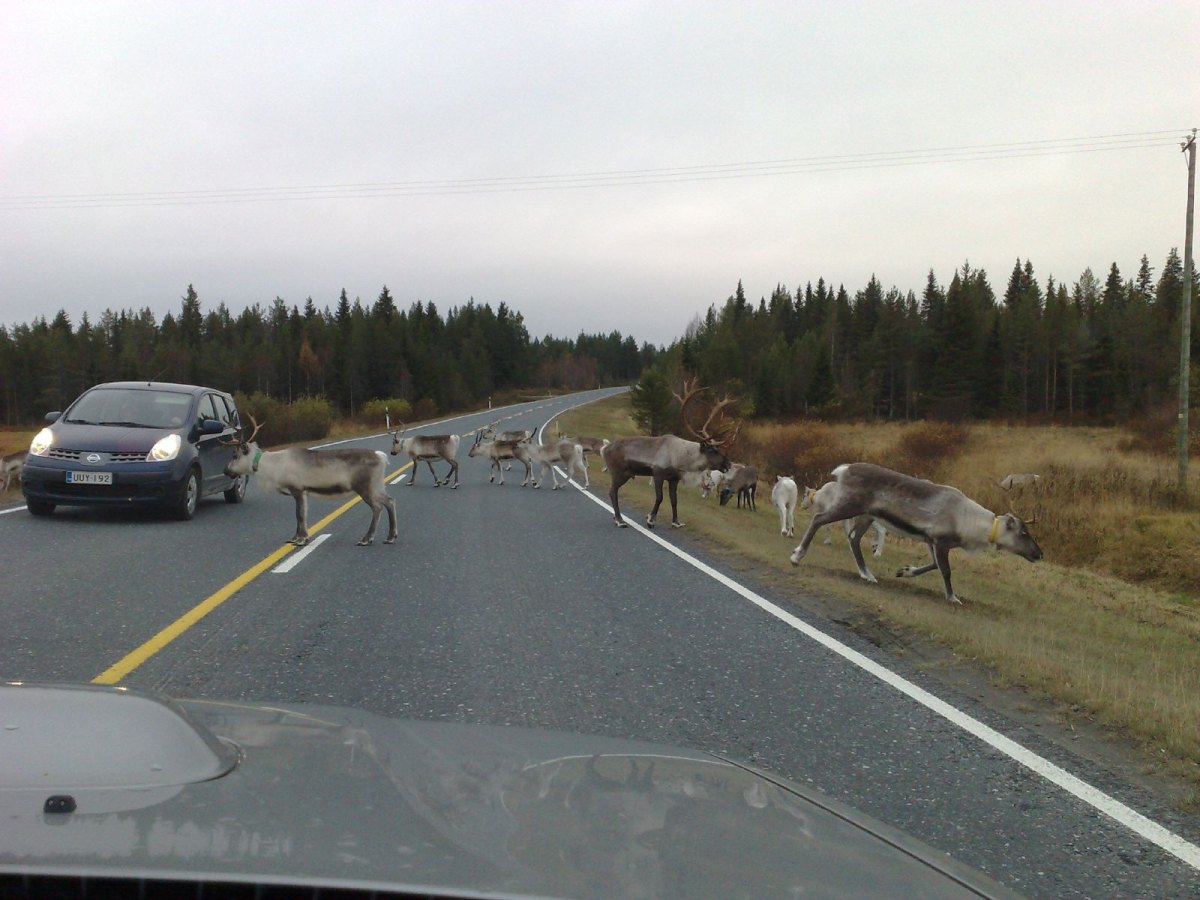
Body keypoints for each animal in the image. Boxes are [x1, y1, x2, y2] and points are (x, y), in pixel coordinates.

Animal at [223, 416, 397, 546]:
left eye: (235, 455)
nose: (226, 471)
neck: (273, 466)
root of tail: (381, 457)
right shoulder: (303, 491)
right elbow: (302, 515)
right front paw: (295, 538)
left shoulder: (297, 489)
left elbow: (299, 514)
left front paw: (301, 539)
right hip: (377, 486)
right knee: (390, 501)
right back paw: (390, 537)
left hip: (365, 487)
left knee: (377, 507)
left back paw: (366, 539)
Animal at [601, 379, 739, 529]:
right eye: (712, 450)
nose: (728, 463)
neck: (681, 458)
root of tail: (605, 449)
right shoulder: (658, 473)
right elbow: (659, 497)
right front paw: (651, 519)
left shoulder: (674, 478)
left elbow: (674, 500)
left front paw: (676, 521)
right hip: (618, 472)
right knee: (612, 492)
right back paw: (620, 520)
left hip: (625, 474)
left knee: (613, 491)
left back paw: (617, 518)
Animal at [789, 463, 1042, 604]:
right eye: (1023, 532)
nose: (1039, 554)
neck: (969, 522)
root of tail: (843, 470)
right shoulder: (941, 541)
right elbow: (946, 570)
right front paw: (952, 597)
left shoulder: (931, 540)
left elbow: (933, 565)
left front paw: (905, 571)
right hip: (849, 505)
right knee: (818, 519)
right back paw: (797, 556)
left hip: (866, 515)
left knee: (853, 538)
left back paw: (867, 574)